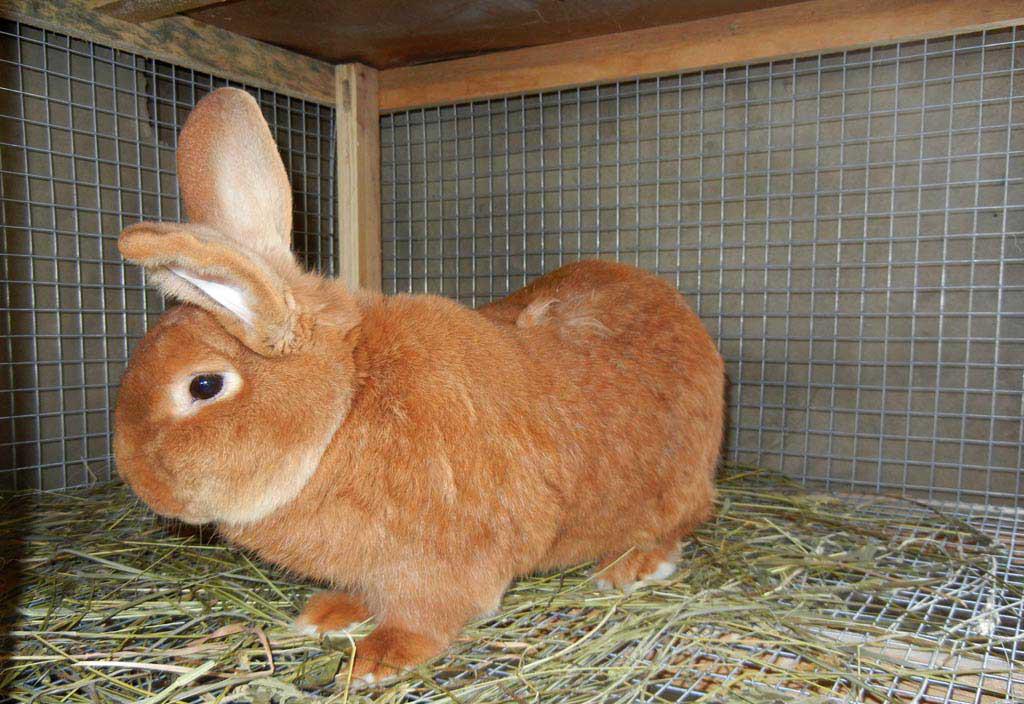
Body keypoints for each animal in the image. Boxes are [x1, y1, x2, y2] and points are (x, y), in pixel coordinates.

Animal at [113, 87, 726, 687]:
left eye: (204, 385)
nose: (141, 483)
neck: (345, 405)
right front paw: (330, 614)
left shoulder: (447, 563)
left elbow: (425, 617)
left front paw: (376, 660)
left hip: (674, 488)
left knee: (675, 525)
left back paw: (631, 567)